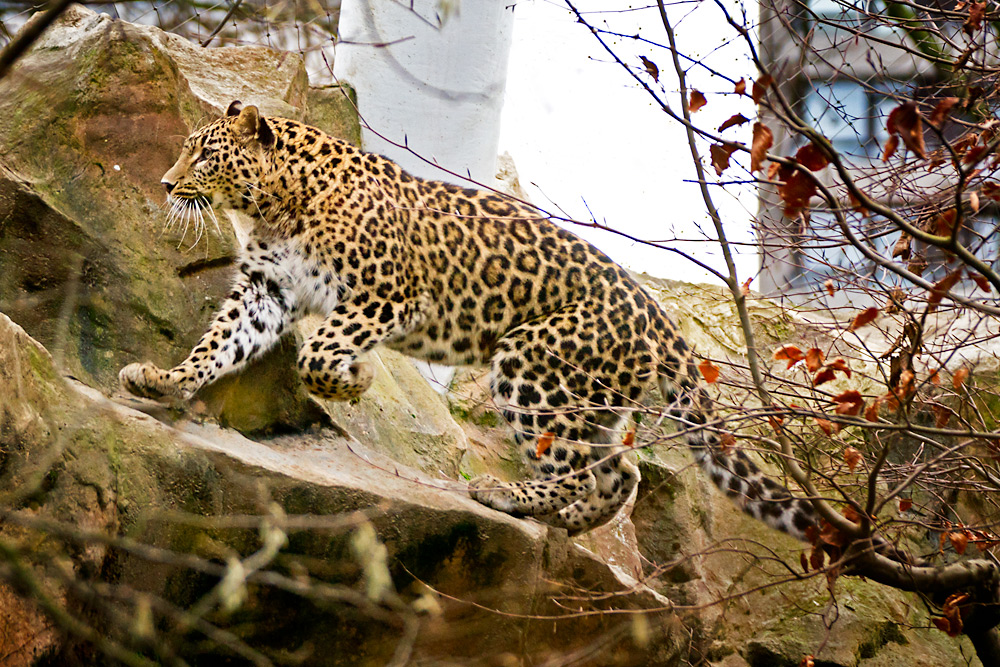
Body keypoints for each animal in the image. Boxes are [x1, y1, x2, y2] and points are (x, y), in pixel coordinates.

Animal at [119, 100, 820, 536]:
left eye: (203, 155)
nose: (164, 183)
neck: (271, 205)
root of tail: (655, 310)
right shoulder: (267, 290)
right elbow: (219, 343)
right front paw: (165, 381)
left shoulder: (389, 294)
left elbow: (319, 352)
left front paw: (356, 382)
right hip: (592, 398)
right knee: (619, 474)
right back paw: (564, 523)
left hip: (532, 364)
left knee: (585, 466)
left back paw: (509, 496)